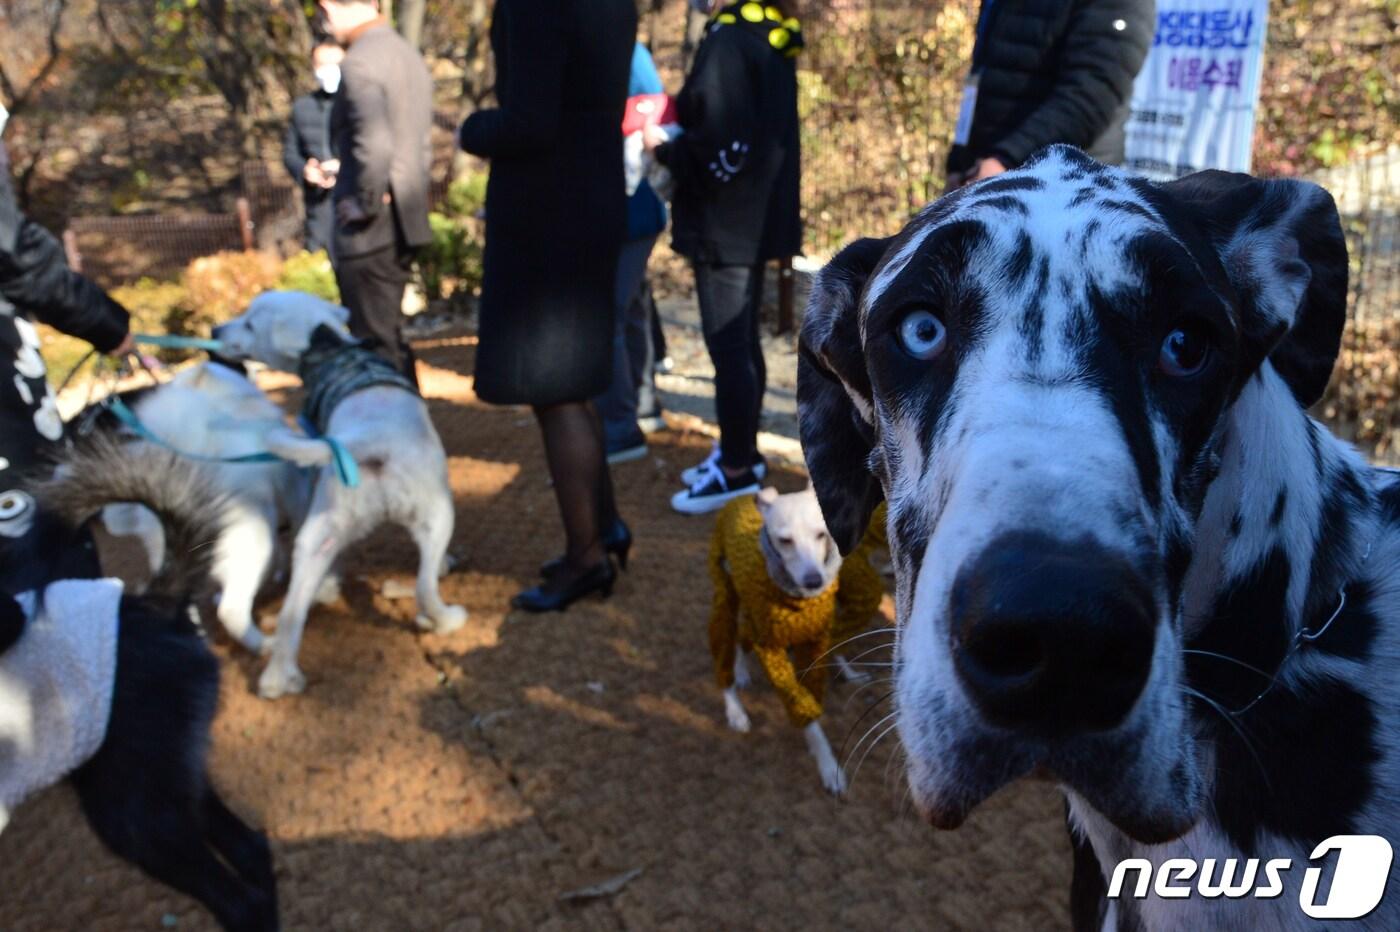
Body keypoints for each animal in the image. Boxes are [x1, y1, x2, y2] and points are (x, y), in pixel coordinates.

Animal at [212, 291, 464, 696]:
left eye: (250, 323)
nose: (214, 330)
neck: (331, 346)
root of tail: (369, 440)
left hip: (321, 537)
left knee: (292, 613)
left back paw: (276, 680)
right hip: (437, 515)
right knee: (424, 587)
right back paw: (445, 620)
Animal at [705, 481, 879, 794]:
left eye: (821, 534)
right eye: (785, 540)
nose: (814, 581)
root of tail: (739, 498)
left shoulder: (814, 644)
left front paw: (825, 760)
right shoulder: (771, 649)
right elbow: (803, 709)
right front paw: (829, 767)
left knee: (744, 635)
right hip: (725, 598)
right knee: (726, 645)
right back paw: (735, 706)